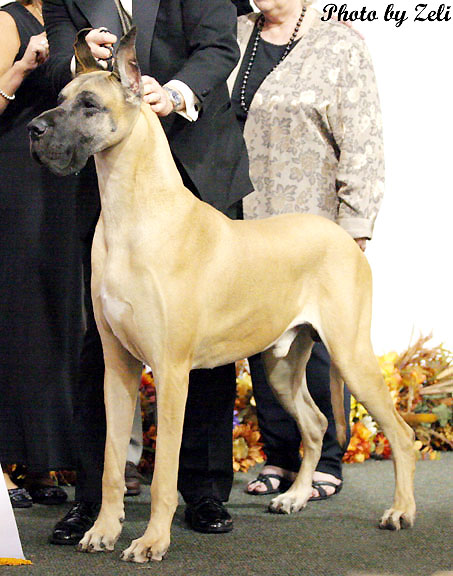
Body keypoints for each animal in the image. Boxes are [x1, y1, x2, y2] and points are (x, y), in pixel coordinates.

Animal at [28, 28, 416, 563]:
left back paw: (400, 511)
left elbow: (166, 473)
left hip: (351, 353)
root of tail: (342, 234)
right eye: (60, 97)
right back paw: (295, 496)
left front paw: (152, 541)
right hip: (280, 363)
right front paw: (103, 529)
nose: (32, 129)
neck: (132, 212)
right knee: (316, 423)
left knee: (402, 434)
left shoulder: (171, 372)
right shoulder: (118, 367)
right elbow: (108, 462)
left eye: (88, 105)